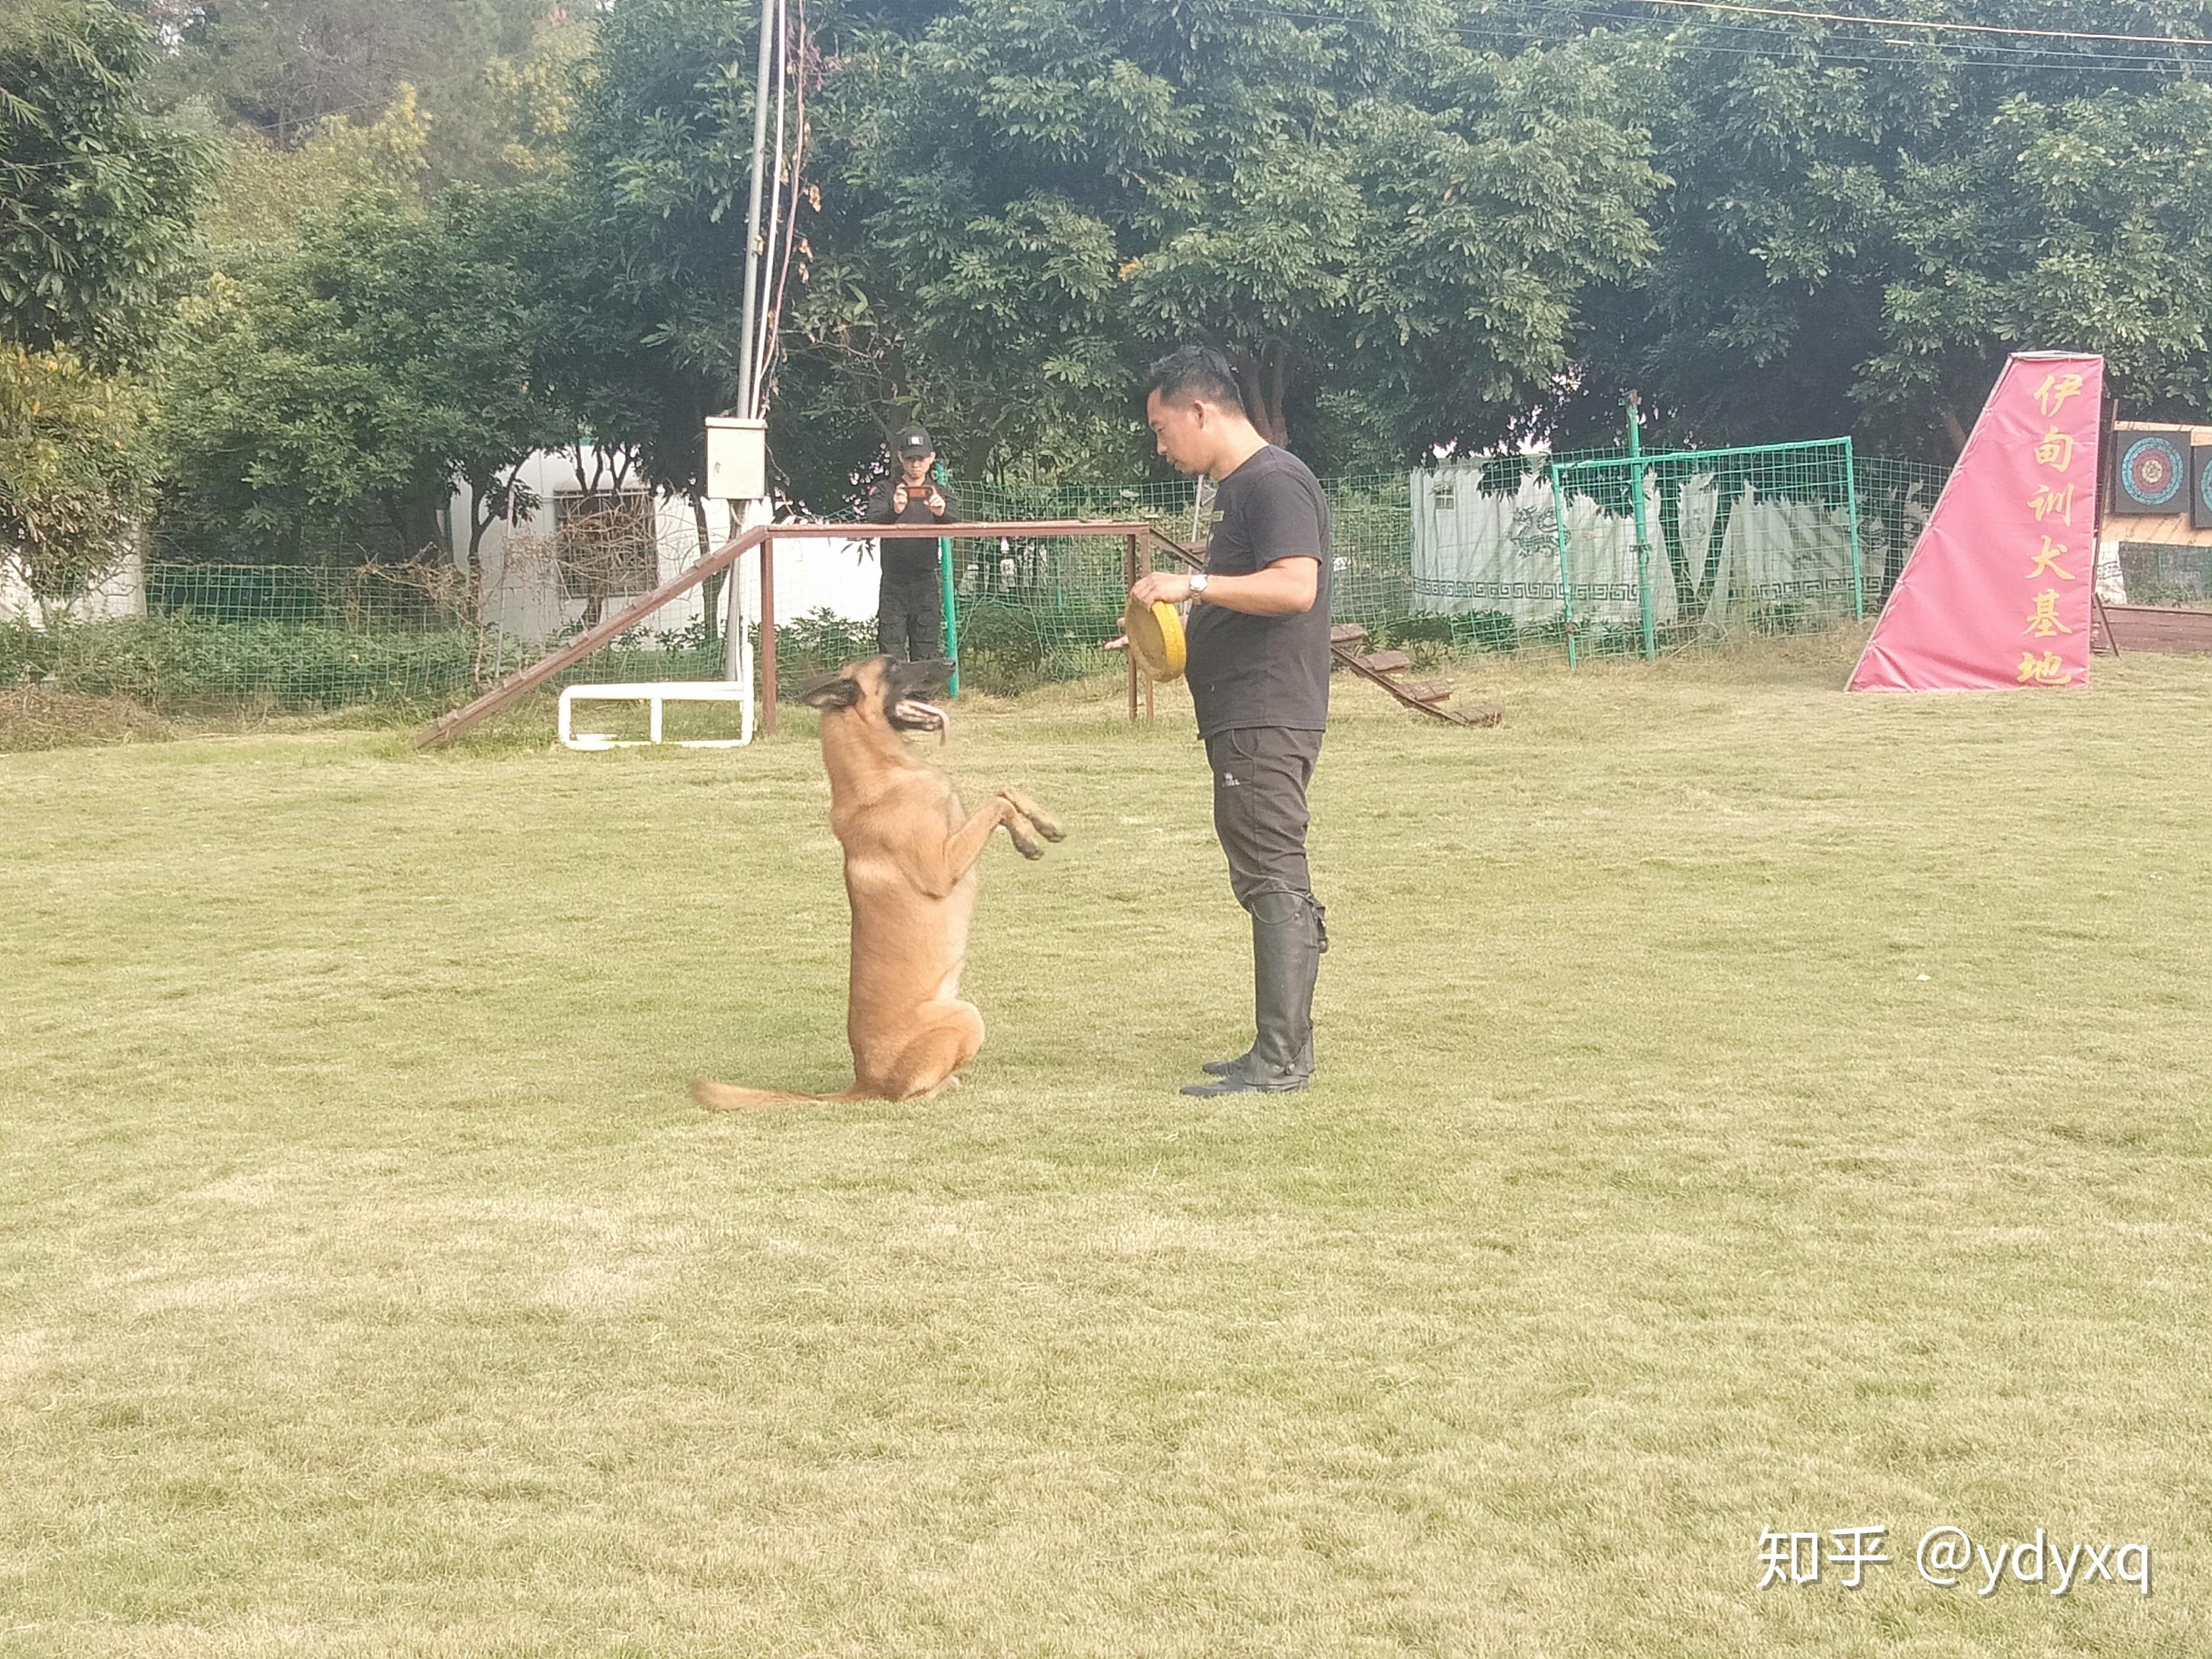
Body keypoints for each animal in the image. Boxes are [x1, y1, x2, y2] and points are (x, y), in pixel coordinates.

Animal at [694, 655, 1066, 1110]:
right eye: (893, 667)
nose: (950, 661)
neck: (884, 768)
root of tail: (865, 1083)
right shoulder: (943, 864)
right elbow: (996, 803)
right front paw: (1028, 838)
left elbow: (1005, 790)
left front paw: (1045, 824)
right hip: (966, 1016)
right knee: (913, 1093)